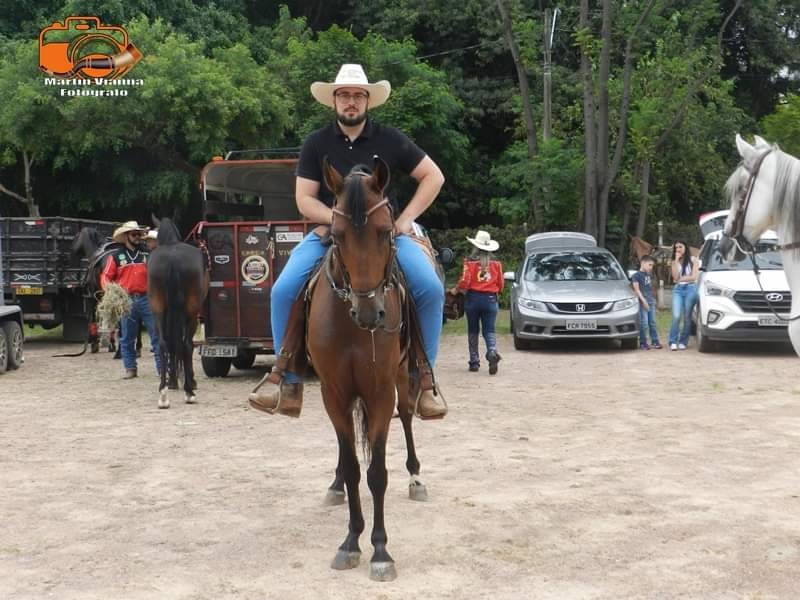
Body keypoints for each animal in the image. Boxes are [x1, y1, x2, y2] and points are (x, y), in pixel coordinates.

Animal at [147, 217, 209, 408]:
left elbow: (172, 344)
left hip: (158, 309)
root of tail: (173, 258)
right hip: (191, 312)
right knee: (187, 344)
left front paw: (173, 381)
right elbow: (182, 345)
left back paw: (163, 394)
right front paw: (186, 380)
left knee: (163, 343)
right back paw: (189, 391)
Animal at [307, 159, 426, 581]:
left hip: (402, 381)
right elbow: (355, 467)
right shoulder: (335, 394)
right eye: (337, 235)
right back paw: (335, 485)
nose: (370, 313)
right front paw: (350, 542)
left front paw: (380, 550)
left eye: (386, 231)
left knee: (407, 416)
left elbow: (377, 473)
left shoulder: (380, 393)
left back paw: (416, 476)